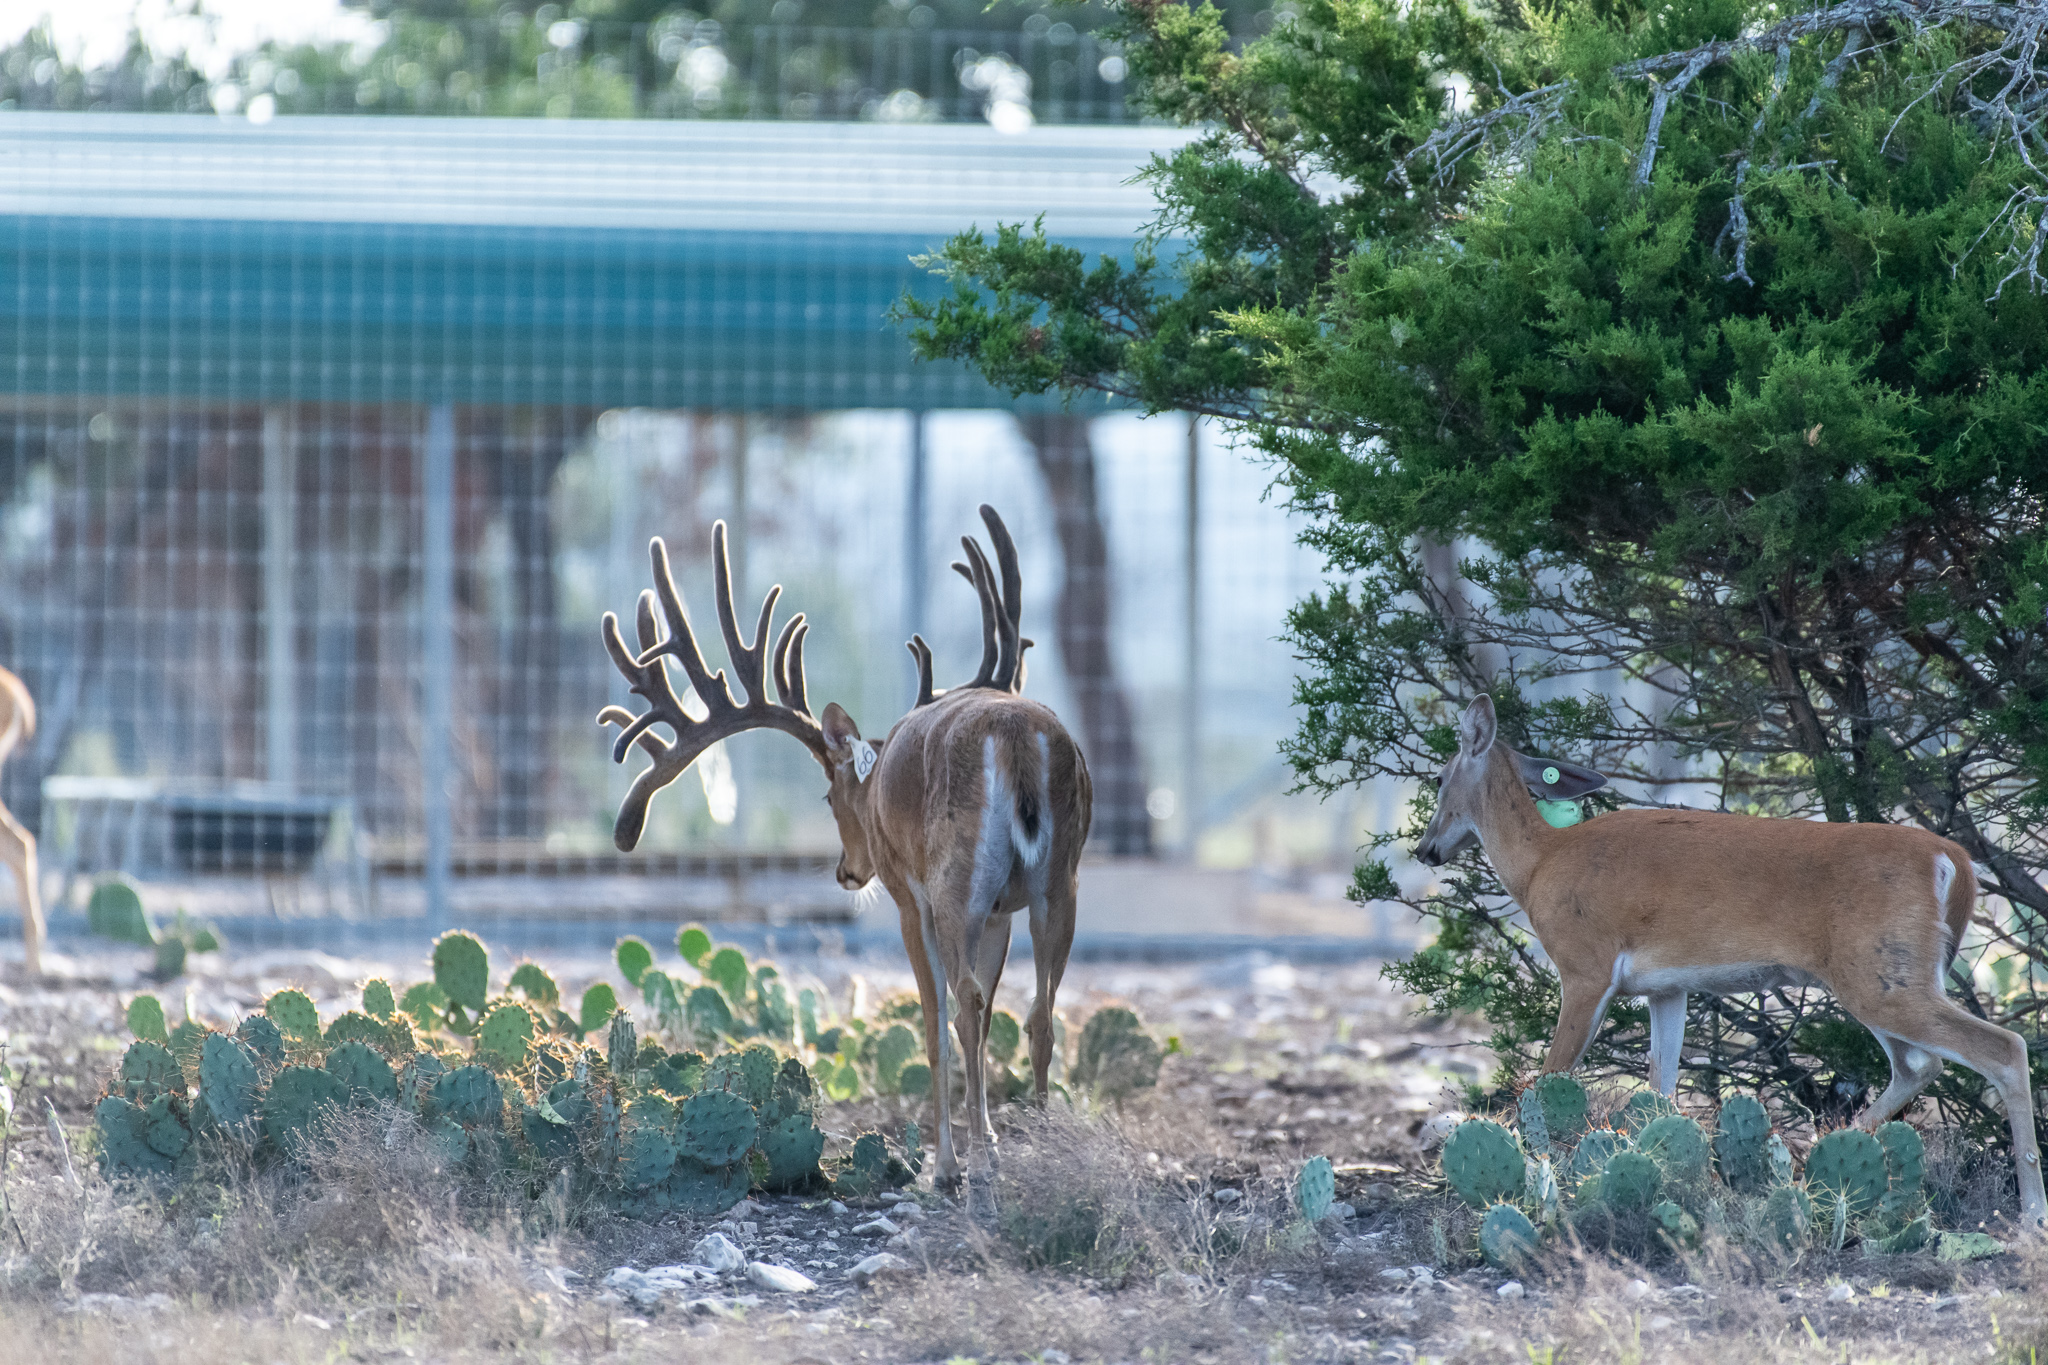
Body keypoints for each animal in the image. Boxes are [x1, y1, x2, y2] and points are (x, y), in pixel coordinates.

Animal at [598, 507, 1089, 1211]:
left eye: (829, 794)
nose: (846, 871)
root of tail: (1018, 741)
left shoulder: (911, 895)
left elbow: (934, 1026)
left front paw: (949, 1166)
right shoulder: (1000, 910)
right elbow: (998, 1008)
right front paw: (988, 1146)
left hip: (955, 883)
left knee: (964, 1007)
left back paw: (971, 1177)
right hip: (1061, 880)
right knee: (1041, 1013)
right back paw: (1046, 1160)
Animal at [1417, 687, 2048, 1236]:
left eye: (1440, 778)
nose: (1426, 850)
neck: (1539, 865)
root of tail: (1953, 859)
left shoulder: (1584, 966)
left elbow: (1550, 1079)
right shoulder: (1666, 988)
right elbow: (1661, 1088)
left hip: (1879, 975)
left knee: (2001, 1048)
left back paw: (2031, 1213)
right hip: (1891, 972)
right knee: (1919, 1065)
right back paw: (1808, 1171)